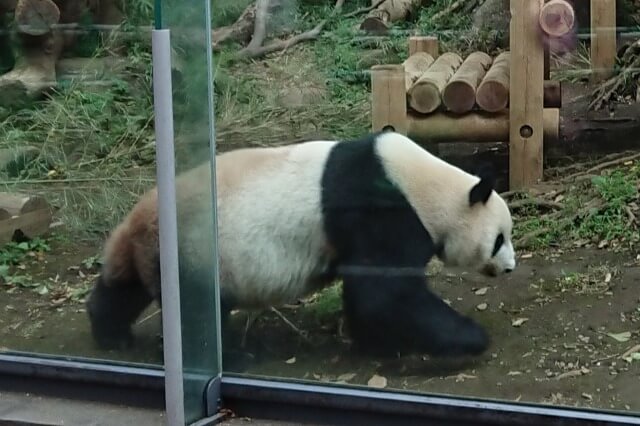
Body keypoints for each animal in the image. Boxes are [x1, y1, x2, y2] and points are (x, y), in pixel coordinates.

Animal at [86, 130, 516, 360]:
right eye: (499, 239)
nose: (510, 268)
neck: (421, 184)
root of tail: (139, 219)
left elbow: (369, 297)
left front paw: (374, 343)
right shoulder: (379, 210)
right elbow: (383, 293)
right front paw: (469, 338)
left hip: (154, 253)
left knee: (123, 288)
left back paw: (111, 334)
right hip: (193, 251)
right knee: (199, 309)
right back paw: (235, 357)